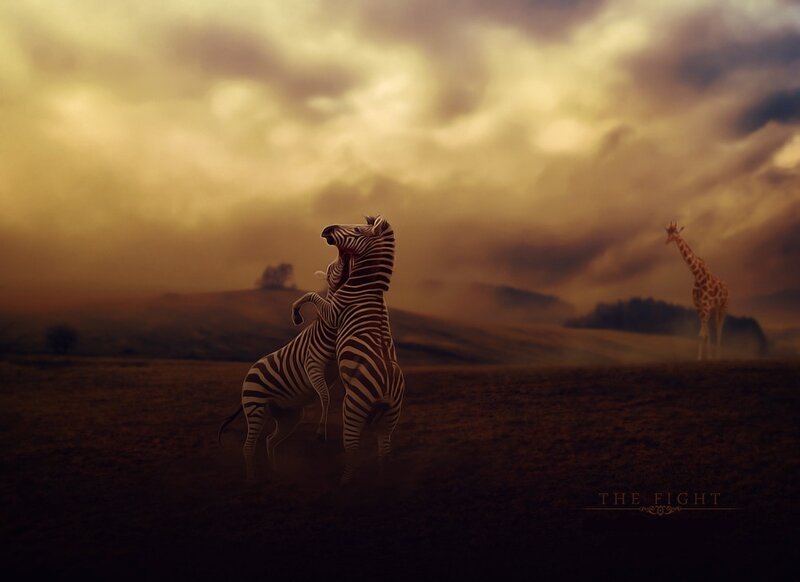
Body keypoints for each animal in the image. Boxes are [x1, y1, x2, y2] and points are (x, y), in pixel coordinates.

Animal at [217, 253, 352, 482]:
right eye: (333, 269)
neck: (328, 333)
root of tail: (248, 374)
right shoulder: (312, 366)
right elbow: (325, 397)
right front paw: (320, 433)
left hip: (289, 416)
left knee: (270, 440)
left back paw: (276, 473)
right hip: (255, 408)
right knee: (248, 446)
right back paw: (251, 480)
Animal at [292, 215, 404, 484]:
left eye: (356, 230)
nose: (326, 229)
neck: (367, 287)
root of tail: (387, 387)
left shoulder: (334, 313)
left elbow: (311, 295)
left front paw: (297, 313)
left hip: (353, 407)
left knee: (352, 449)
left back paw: (343, 482)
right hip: (390, 417)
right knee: (385, 450)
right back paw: (381, 480)